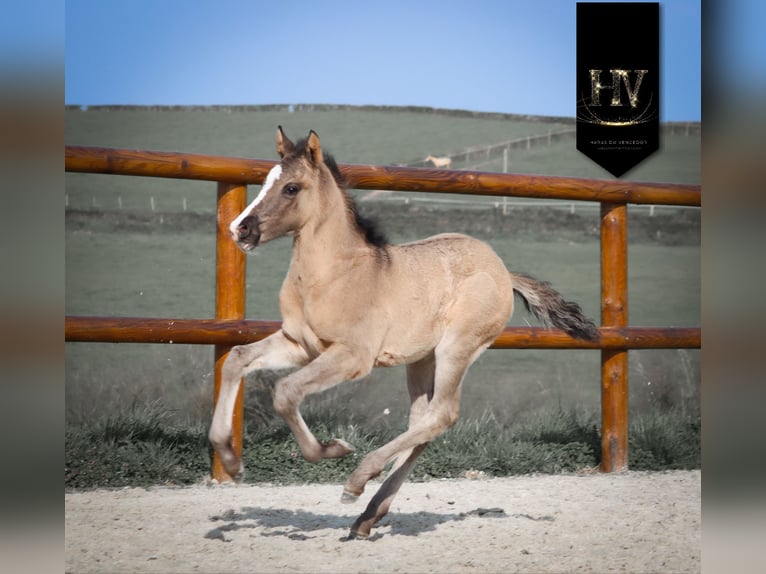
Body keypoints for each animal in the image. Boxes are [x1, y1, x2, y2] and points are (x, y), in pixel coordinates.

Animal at [209, 127, 599, 539]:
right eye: (266, 180)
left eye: (291, 188)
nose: (240, 228)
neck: (332, 275)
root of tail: (503, 271)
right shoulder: (300, 345)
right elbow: (235, 359)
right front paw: (231, 462)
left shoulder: (353, 356)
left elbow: (285, 392)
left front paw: (334, 449)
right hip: (421, 360)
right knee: (422, 423)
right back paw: (368, 515)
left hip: (456, 349)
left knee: (442, 415)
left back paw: (356, 483)